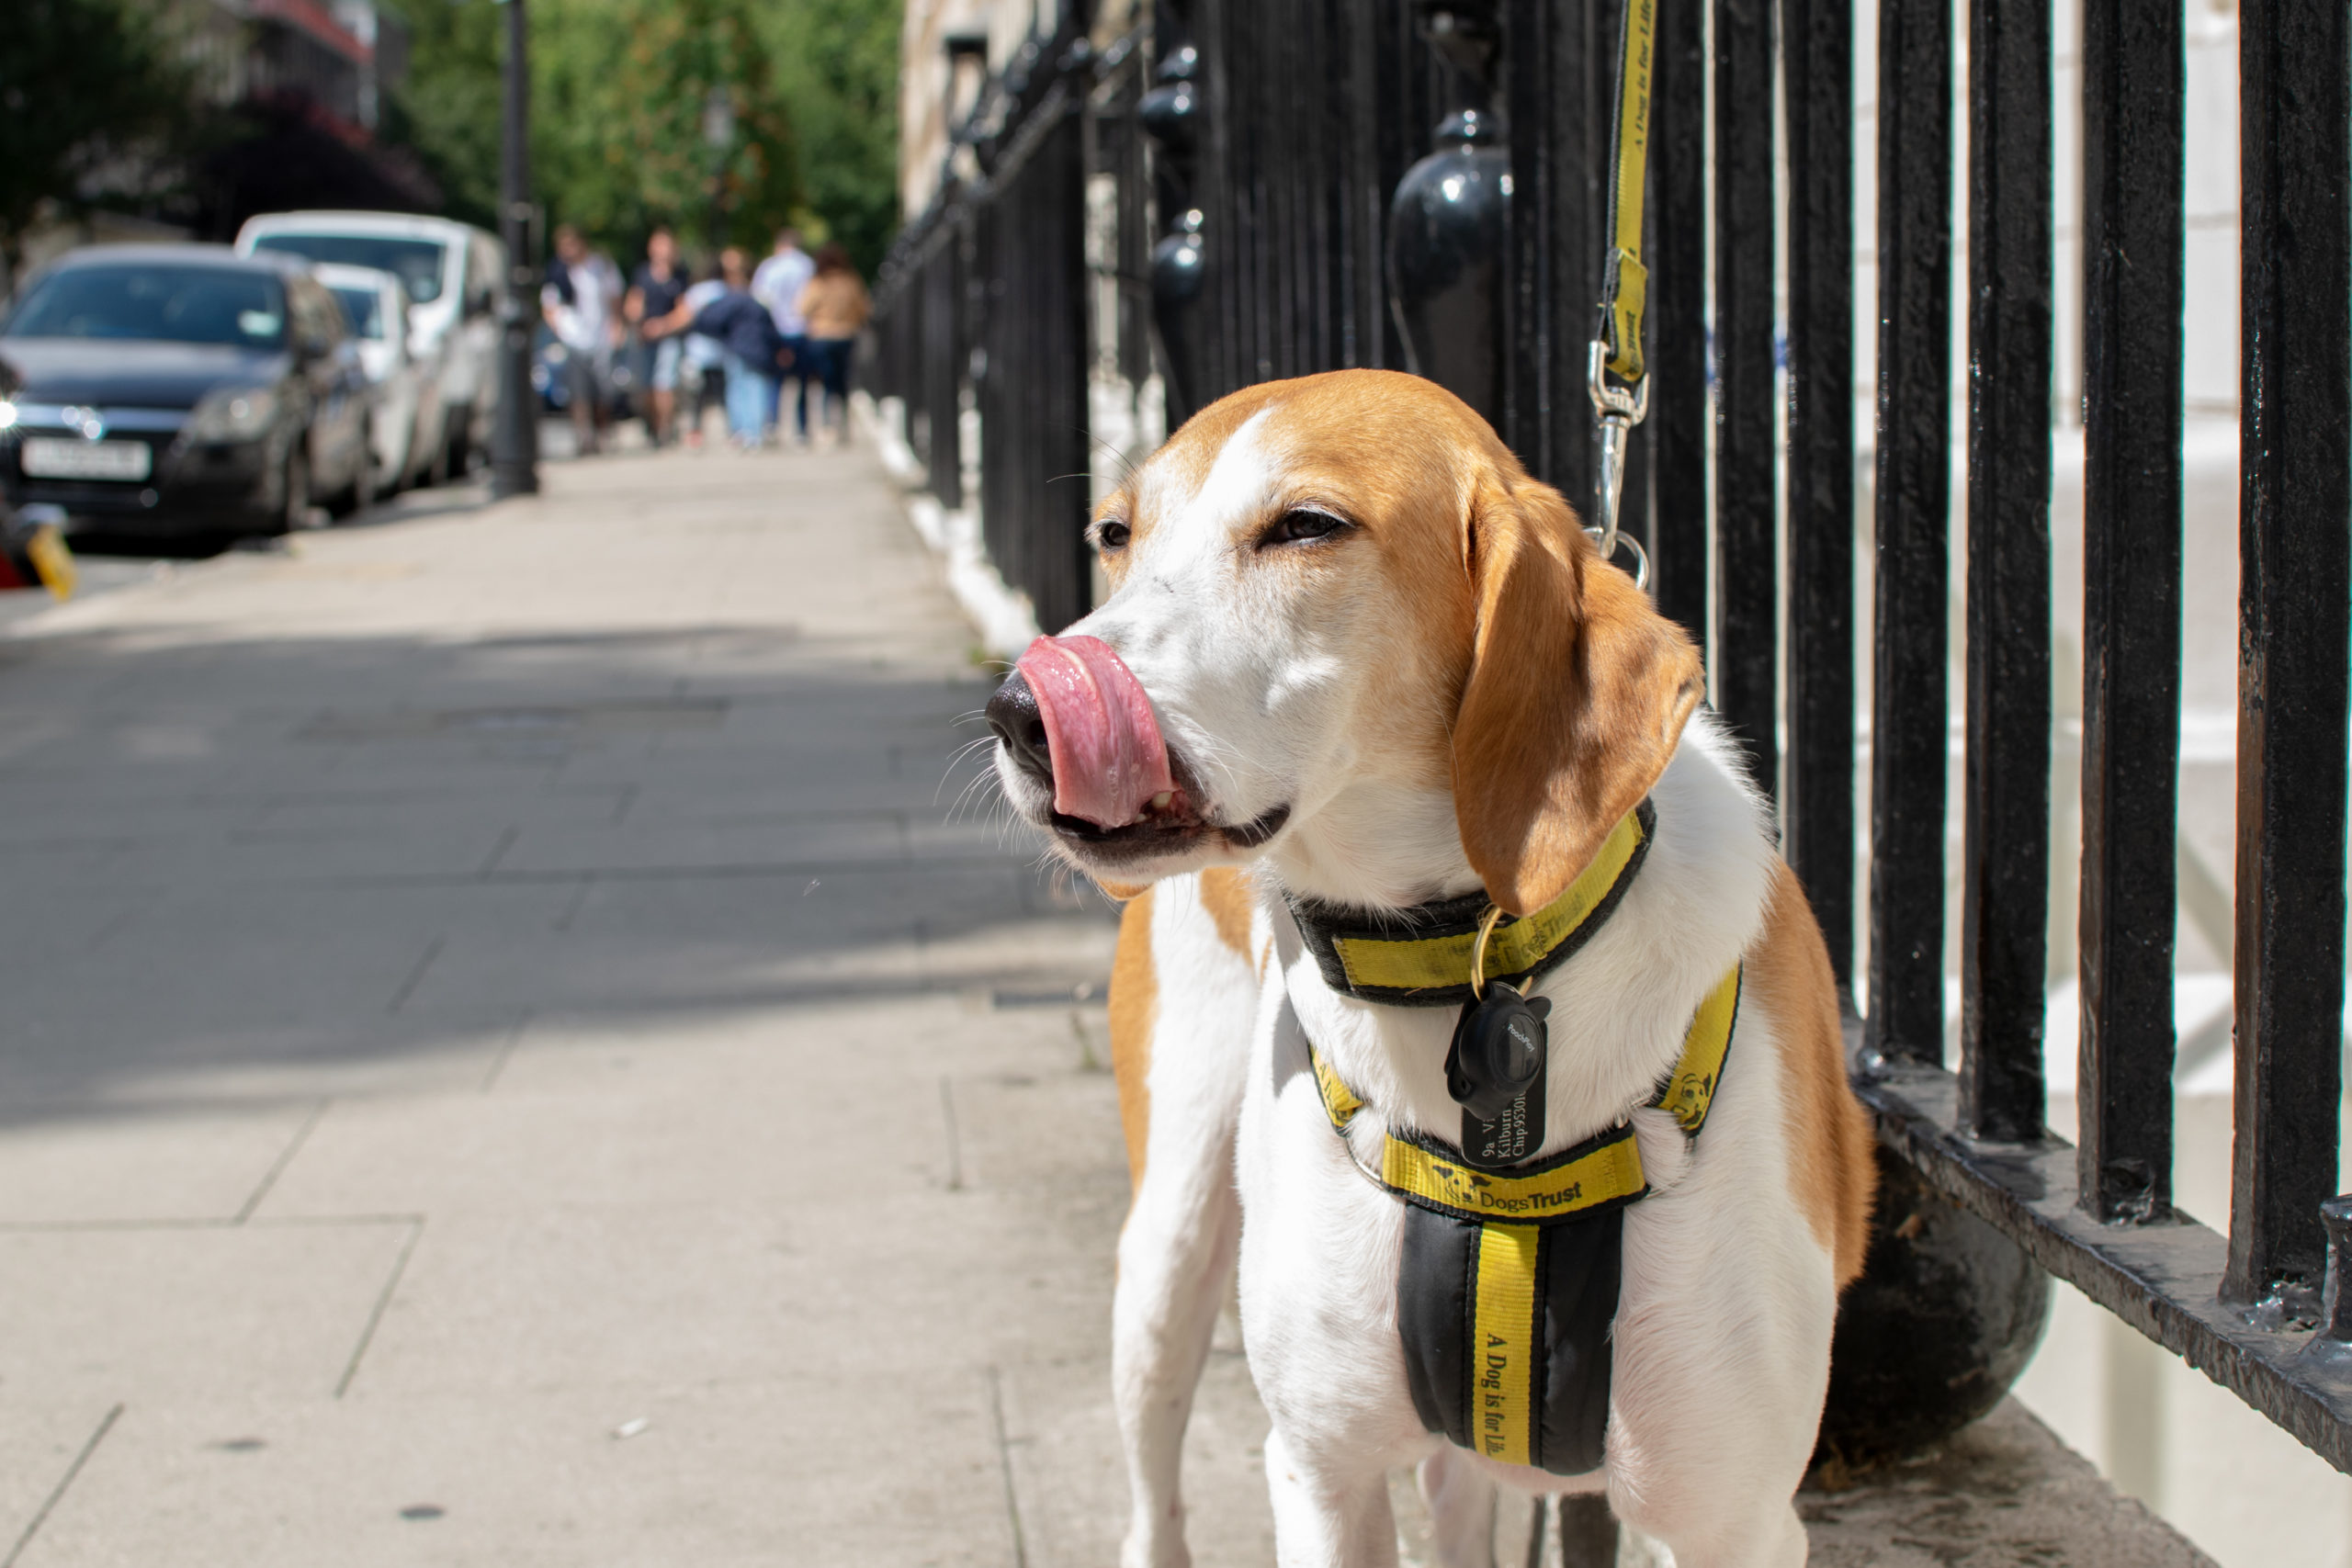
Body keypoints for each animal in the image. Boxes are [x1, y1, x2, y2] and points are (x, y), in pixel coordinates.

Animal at [983, 371, 1862, 1568]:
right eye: (1114, 536)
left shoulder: (1735, 1523)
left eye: (1306, 526)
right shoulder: (1318, 1475)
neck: (1468, 960)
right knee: (1154, 1500)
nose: (1021, 713)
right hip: (1166, 1250)